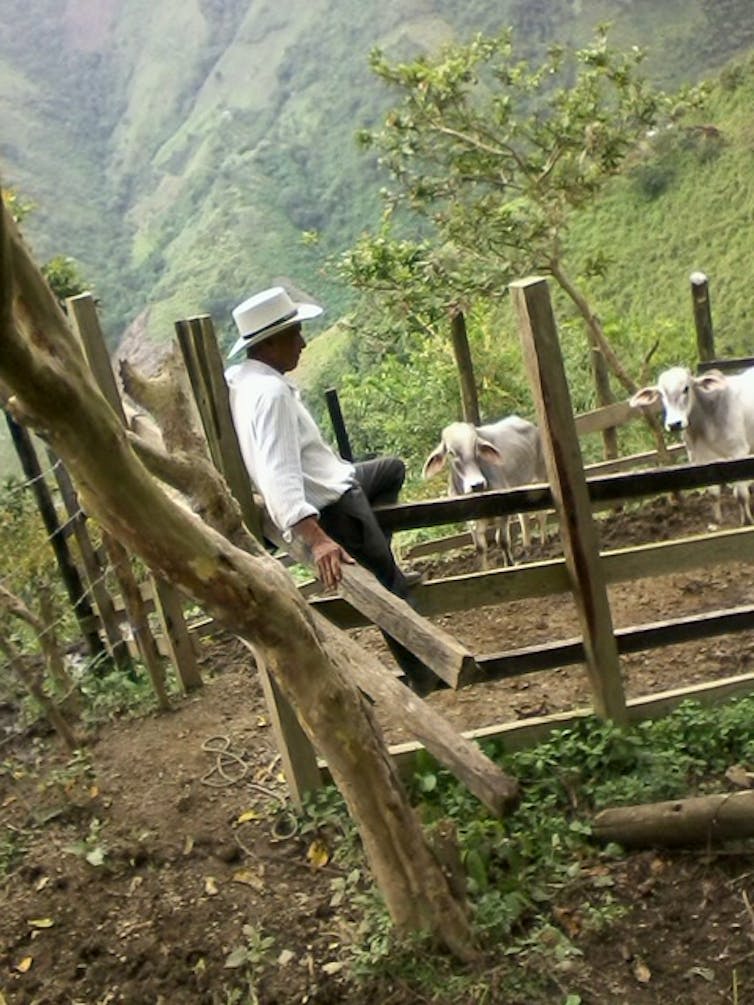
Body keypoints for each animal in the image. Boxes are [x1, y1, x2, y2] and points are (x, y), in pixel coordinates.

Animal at [420, 416, 550, 570]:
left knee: (541, 514)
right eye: (451, 453)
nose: (477, 484)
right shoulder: (471, 521)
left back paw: (543, 544)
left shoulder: (503, 512)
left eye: (476, 447)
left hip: (540, 478)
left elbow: (502, 541)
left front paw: (509, 565)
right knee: (524, 517)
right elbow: (480, 547)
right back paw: (527, 548)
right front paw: (485, 570)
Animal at [627, 367, 754, 526]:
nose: (674, 424)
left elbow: (741, 495)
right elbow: (714, 494)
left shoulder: (738, 452)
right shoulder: (701, 459)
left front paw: (747, 521)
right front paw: (718, 521)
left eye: (686, 388)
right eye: (661, 394)